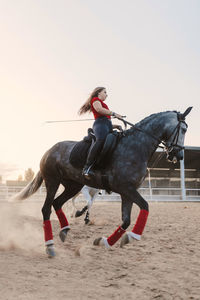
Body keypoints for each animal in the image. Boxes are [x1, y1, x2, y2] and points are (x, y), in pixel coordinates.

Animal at [14, 108, 192, 258]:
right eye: (183, 129)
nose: (179, 155)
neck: (135, 146)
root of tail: (50, 150)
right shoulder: (126, 189)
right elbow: (145, 207)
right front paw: (133, 236)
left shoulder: (128, 192)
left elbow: (126, 220)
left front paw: (105, 241)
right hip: (53, 181)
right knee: (46, 209)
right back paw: (50, 246)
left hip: (73, 185)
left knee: (57, 203)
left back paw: (64, 230)